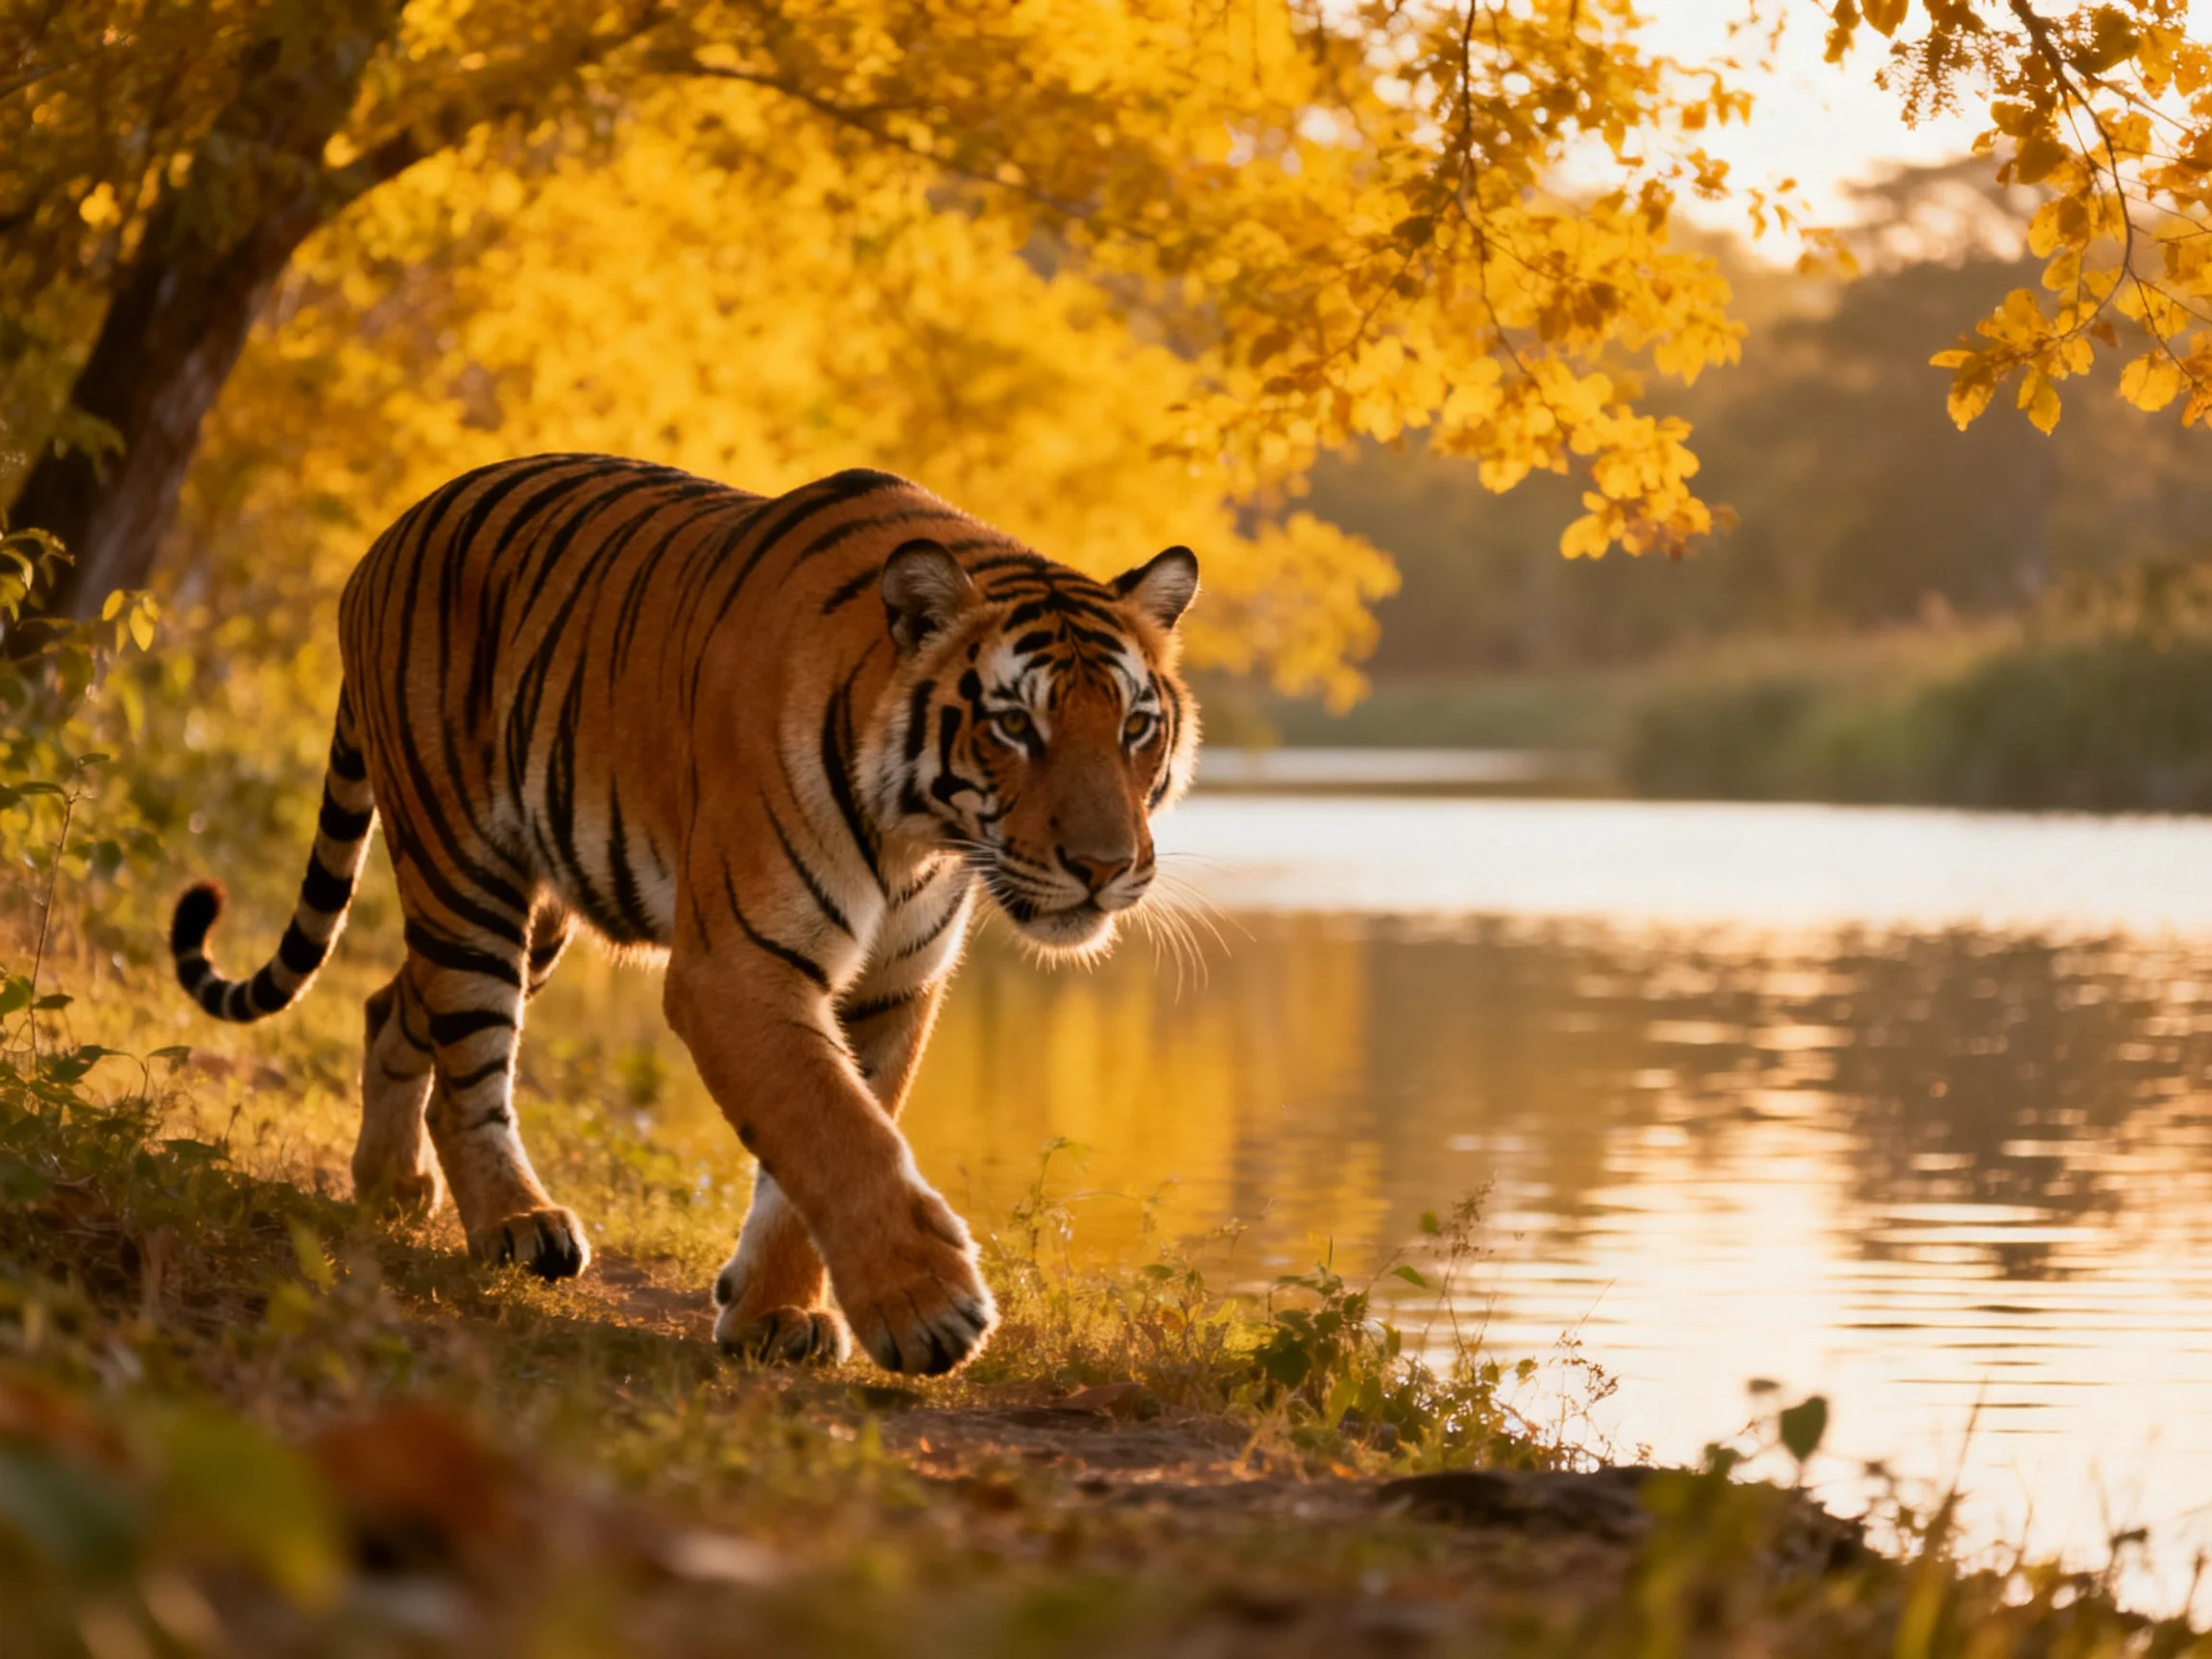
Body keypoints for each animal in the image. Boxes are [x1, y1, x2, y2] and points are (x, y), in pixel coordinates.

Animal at [168, 454, 1200, 1376]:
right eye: (1014, 725)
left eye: (1135, 727)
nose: (1105, 868)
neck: (924, 835)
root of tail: (388, 537)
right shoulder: (738, 966)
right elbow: (837, 1129)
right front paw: (927, 1308)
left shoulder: (892, 987)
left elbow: (822, 1143)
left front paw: (776, 1314)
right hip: (463, 867)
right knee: (470, 1061)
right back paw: (514, 1222)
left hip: (537, 911)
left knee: (394, 1003)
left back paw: (392, 1188)